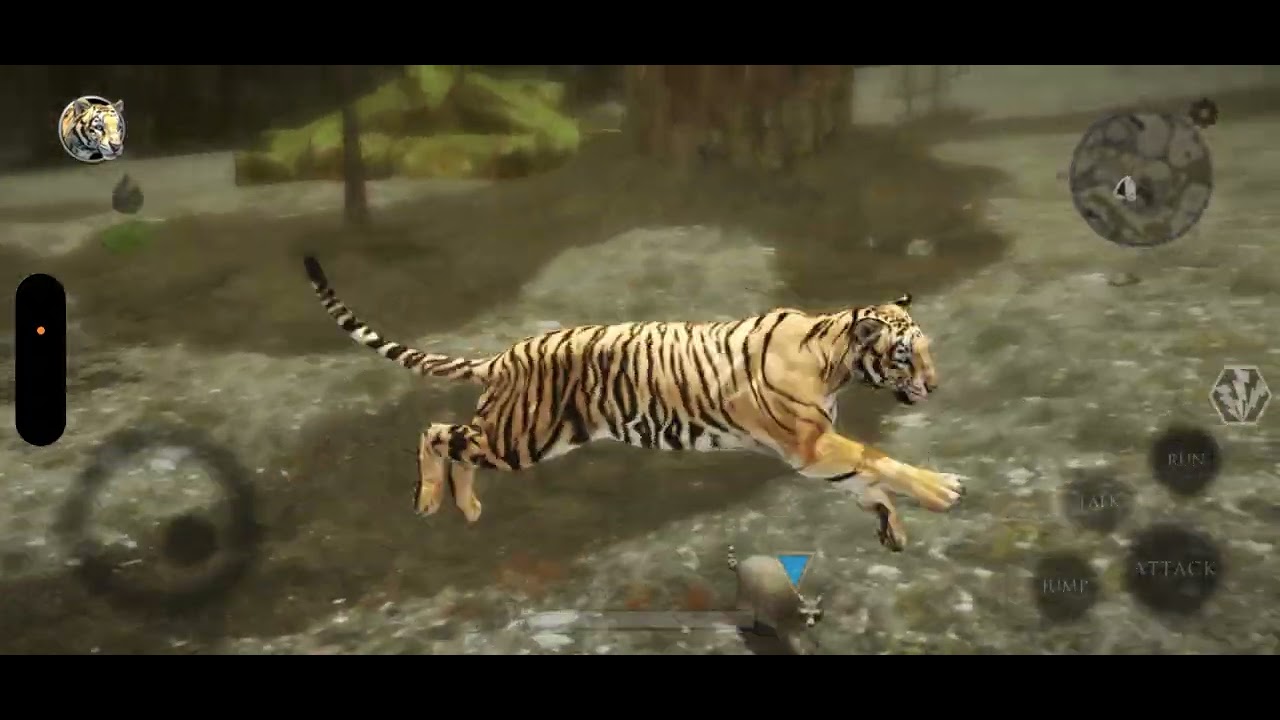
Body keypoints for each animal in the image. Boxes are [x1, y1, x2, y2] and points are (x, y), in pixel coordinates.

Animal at [302, 256, 965, 553]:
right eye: (905, 355)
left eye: (926, 350)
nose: (936, 388)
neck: (835, 360)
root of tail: (504, 354)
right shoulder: (808, 444)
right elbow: (878, 459)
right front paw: (942, 491)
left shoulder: (815, 452)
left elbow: (866, 481)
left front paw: (891, 527)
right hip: (521, 438)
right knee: (436, 431)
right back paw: (432, 500)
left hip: (525, 437)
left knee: (455, 440)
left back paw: (467, 509)